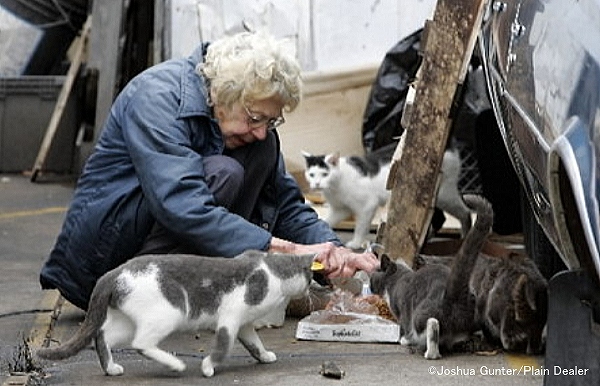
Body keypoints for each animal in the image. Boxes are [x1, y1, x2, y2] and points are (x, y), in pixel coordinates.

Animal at [36, 250, 318, 376]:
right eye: (311, 275)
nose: (313, 285)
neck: (272, 271)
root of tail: (115, 271)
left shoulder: (245, 324)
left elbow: (254, 343)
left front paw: (265, 356)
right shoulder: (230, 318)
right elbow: (223, 347)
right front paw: (208, 367)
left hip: (126, 322)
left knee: (102, 336)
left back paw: (112, 368)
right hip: (168, 313)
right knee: (141, 343)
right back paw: (175, 364)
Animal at [302, 140, 472, 249]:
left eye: (325, 174)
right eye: (311, 174)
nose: (317, 184)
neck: (335, 185)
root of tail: (448, 144)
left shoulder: (367, 205)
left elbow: (361, 226)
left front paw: (356, 243)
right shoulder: (340, 209)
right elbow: (326, 221)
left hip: (444, 194)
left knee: (465, 212)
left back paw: (465, 234)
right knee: (439, 218)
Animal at [370, 195, 492, 360]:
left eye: (374, 272)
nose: (370, 282)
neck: (398, 278)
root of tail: (454, 294)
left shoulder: (401, 309)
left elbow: (403, 325)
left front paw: (403, 340)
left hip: (420, 314)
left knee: (432, 325)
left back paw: (430, 352)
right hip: (473, 318)